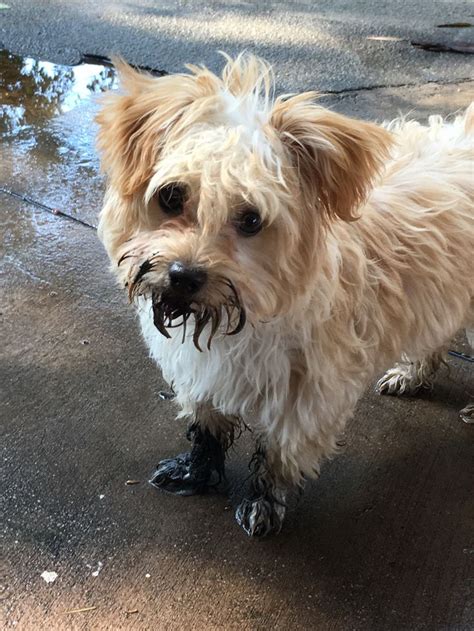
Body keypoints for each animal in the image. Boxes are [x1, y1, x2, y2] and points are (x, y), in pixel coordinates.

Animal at [97, 54, 474, 540]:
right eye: (172, 196)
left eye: (252, 219)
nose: (184, 276)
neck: (246, 311)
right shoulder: (203, 371)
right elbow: (206, 423)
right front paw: (198, 471)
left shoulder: (308, 395)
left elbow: (279, 454)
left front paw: (263, 502)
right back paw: (412, 374)